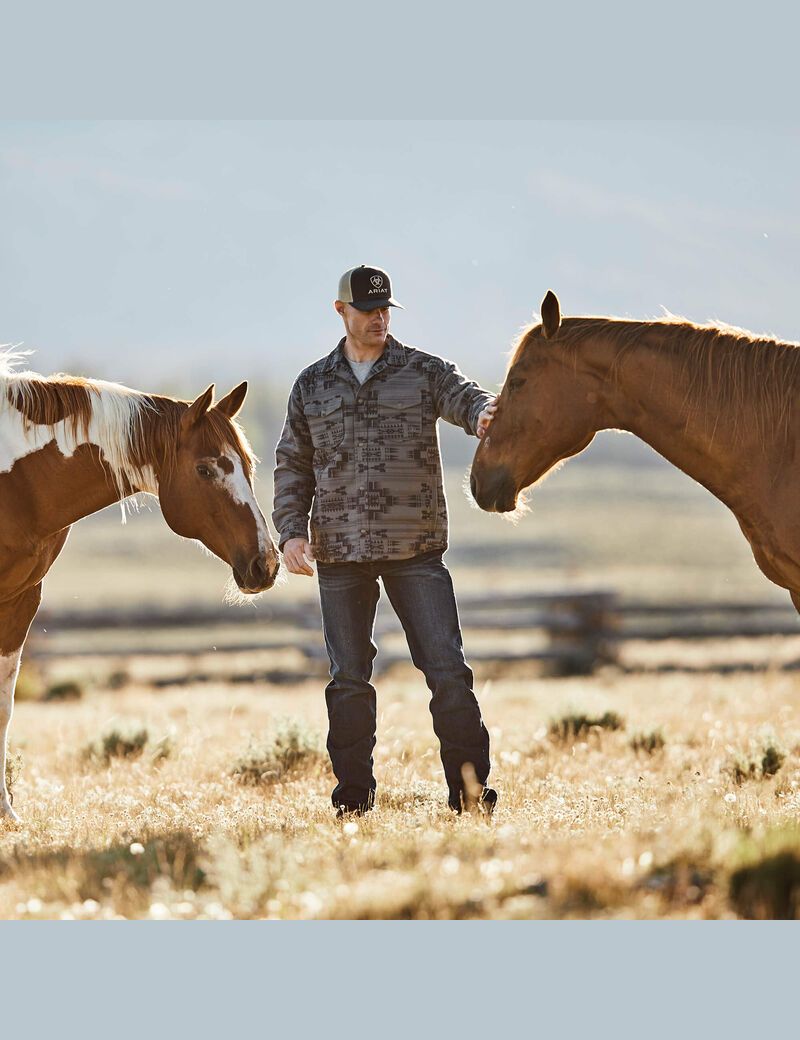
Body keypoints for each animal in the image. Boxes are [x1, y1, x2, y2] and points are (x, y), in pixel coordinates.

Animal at [0, 353, 280, 823]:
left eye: (248, 466)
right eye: (205, 468)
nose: (267, 563)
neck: (16, 480)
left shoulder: (21, 598)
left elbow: (4, 703)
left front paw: (5, 810)